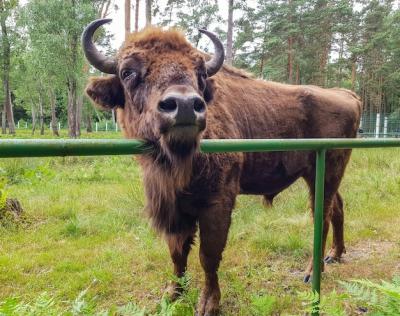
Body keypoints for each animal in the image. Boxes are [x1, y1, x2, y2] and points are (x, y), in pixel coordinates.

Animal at [83, 20, 360, 316]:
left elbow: (208, 255)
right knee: (337, 208)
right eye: (127, 72)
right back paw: (334, 255)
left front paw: (208, 303)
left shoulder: (217, 203)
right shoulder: (174, 208)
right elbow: (177, 252)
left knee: (322, 216)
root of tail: (347, 94)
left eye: (201, 73)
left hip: (326, 172)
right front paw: (172, 294)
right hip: (319, 174)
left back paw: (311, 272)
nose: (184, 105)